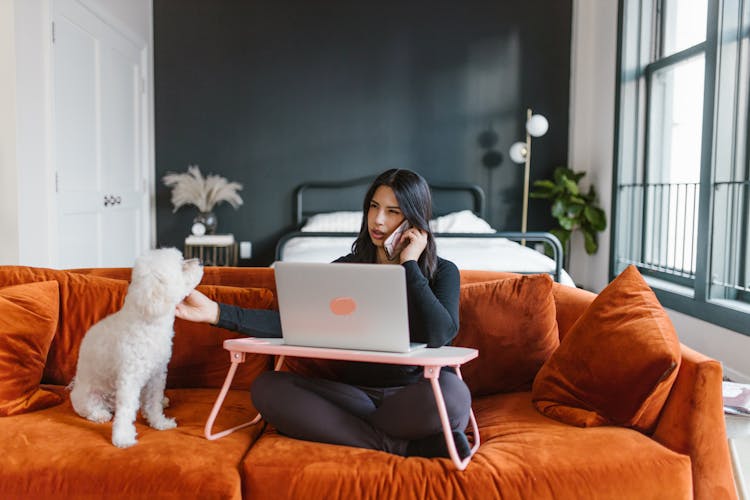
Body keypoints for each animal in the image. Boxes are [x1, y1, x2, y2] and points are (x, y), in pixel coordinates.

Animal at [70, 248, 203, 448]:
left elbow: (154, 402)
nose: (200, 261)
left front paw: (159, 422)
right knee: (89, 408)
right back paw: (100, 414)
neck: (148, 322)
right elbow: (126, 410)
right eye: (181, 266)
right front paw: (123, 437)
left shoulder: (157, 375)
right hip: (88, 395)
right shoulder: (129, 378)